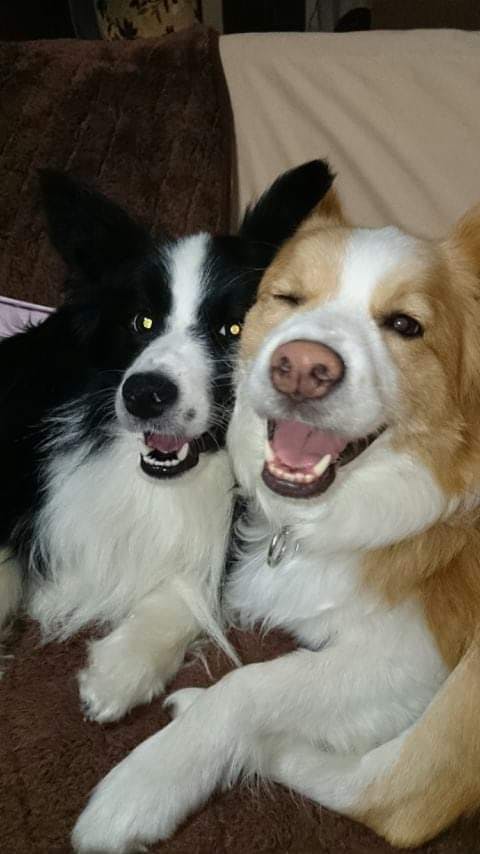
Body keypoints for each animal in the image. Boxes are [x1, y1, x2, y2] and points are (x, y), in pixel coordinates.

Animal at [72, 181, 480, 852]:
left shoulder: (416, 654)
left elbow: (251, 684)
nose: (302, 368)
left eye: (405, 325)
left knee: (397, 803)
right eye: (287, 298)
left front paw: (146, 783)